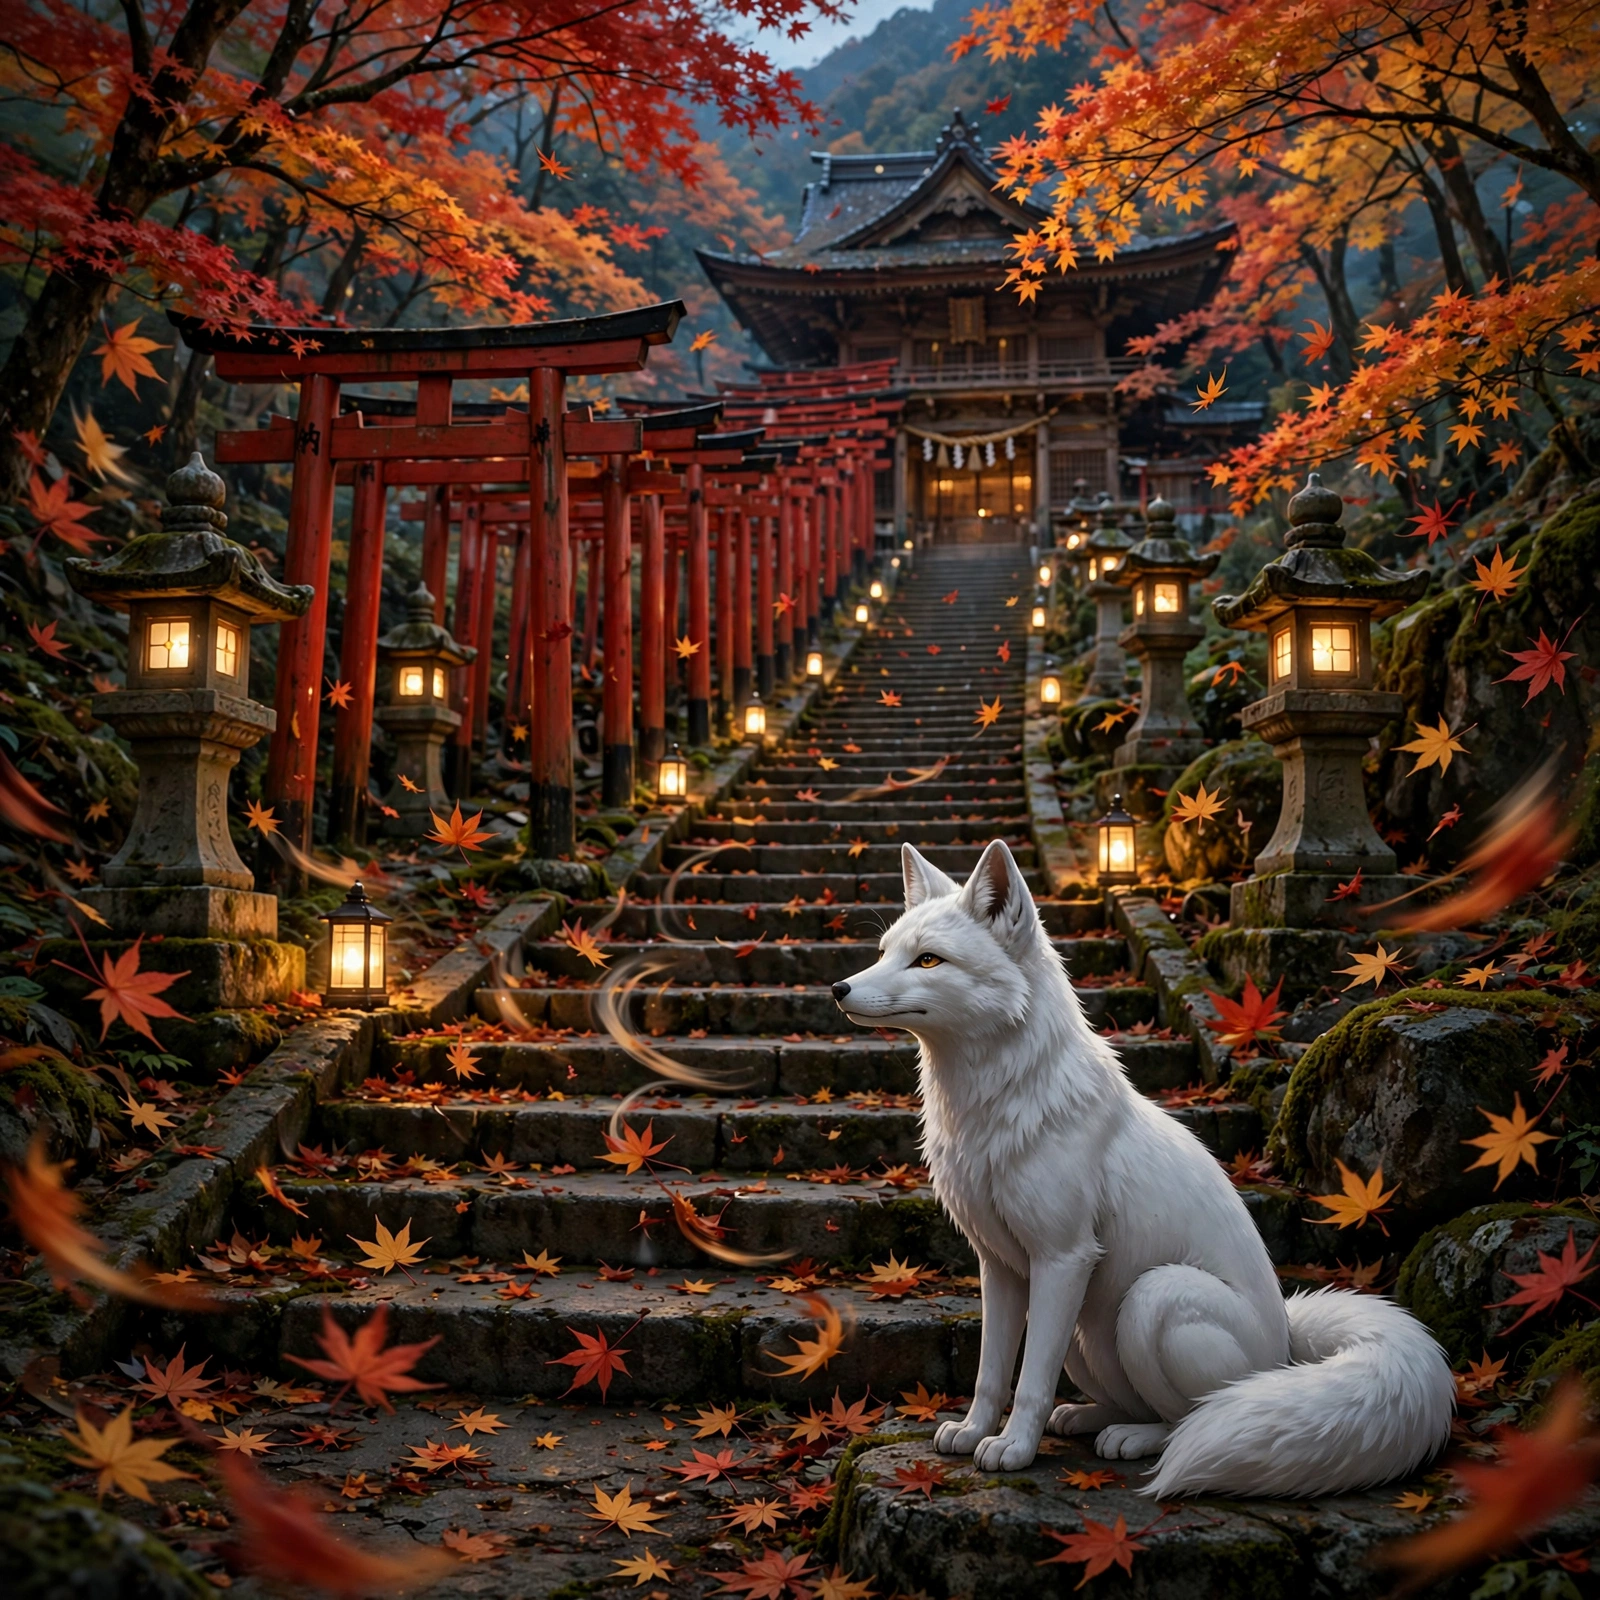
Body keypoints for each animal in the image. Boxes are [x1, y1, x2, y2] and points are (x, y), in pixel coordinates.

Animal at [830, 837, 1454, 1497]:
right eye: (884, 952)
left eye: (928, 960)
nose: (837, 988)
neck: (991, 1105)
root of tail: (1287, 1345)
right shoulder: (1001, 1267)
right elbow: (992, 1372)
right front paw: (975, 1433)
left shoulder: (1062, 1258)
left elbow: (1029, 1382)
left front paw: (1014, 1449)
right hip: (1084, 1331)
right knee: (1124, 1399)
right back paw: (1086, 1417)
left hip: (1154, 1297)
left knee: (1191, 1415)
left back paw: (1136, 1439)